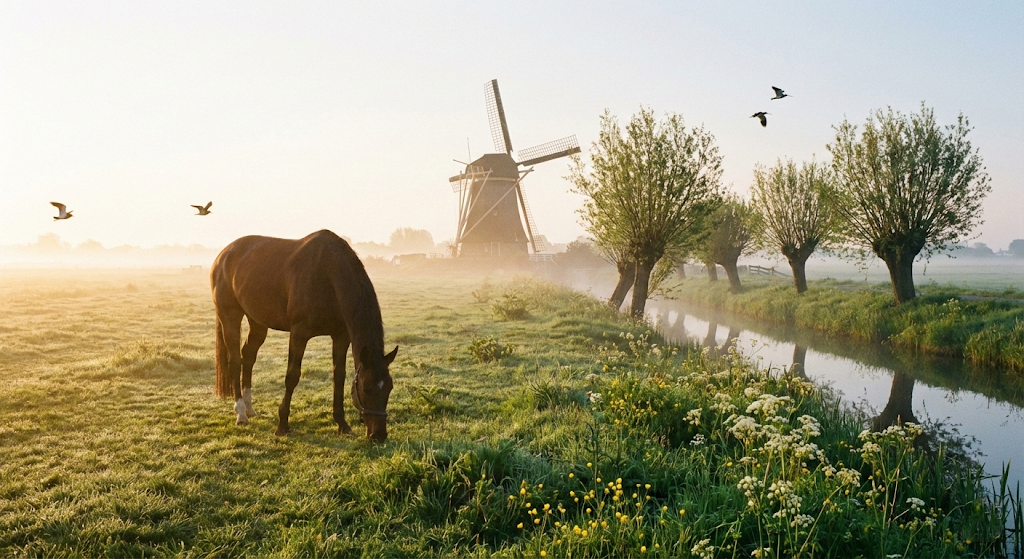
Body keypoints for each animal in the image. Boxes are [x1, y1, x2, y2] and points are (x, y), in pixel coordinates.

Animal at [210, 230, 398, 441]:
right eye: (366, 389)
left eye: (389, 388)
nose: (379, 435)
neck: (327, 274)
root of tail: (223, 255)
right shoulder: (299, 334)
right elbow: (292, 376)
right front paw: (282, 425)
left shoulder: (341, 336)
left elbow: (339, 376)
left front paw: (342, 424)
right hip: (230, 316)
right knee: (235, 360)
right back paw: (241, 413)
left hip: (257, 322)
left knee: (248, 356)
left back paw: (250, 408)